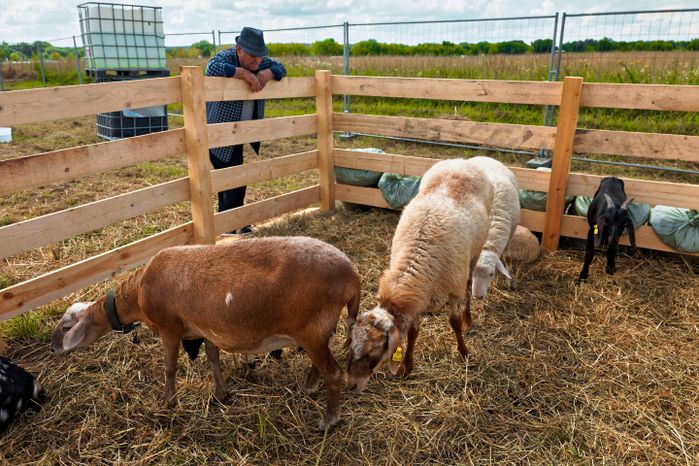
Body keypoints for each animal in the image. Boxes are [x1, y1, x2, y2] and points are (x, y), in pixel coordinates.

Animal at [50, 236, 361, 431]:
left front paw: (169, 402)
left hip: (310, 329)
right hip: (318, 330)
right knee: (321, 365)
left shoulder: (169, 328)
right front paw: (221, 394)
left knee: (333, 372)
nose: (53, 348)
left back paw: (329, 421)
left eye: (66, 328)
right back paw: (309, 387)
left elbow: (170, 367)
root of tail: (352, 274)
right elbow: (213, 358)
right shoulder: (203, 328)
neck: (136, 294)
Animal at [347, 158, 493, 392]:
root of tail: (461, 161)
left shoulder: (453, 288)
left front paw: (463, 352)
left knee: (469, 286)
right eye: (351, 345)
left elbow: (453, 322)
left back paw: (468, 319)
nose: (351, 385)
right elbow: (413, 333)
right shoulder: (415, 299)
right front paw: (407, 366)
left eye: (374, 349)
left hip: (473, 255)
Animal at [467, 157, 521, 299]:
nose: (478, 297)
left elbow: (507, 258)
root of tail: (484, 157)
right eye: (472, 273)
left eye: (491, 274)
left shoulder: (511, 232)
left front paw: (511, 283)